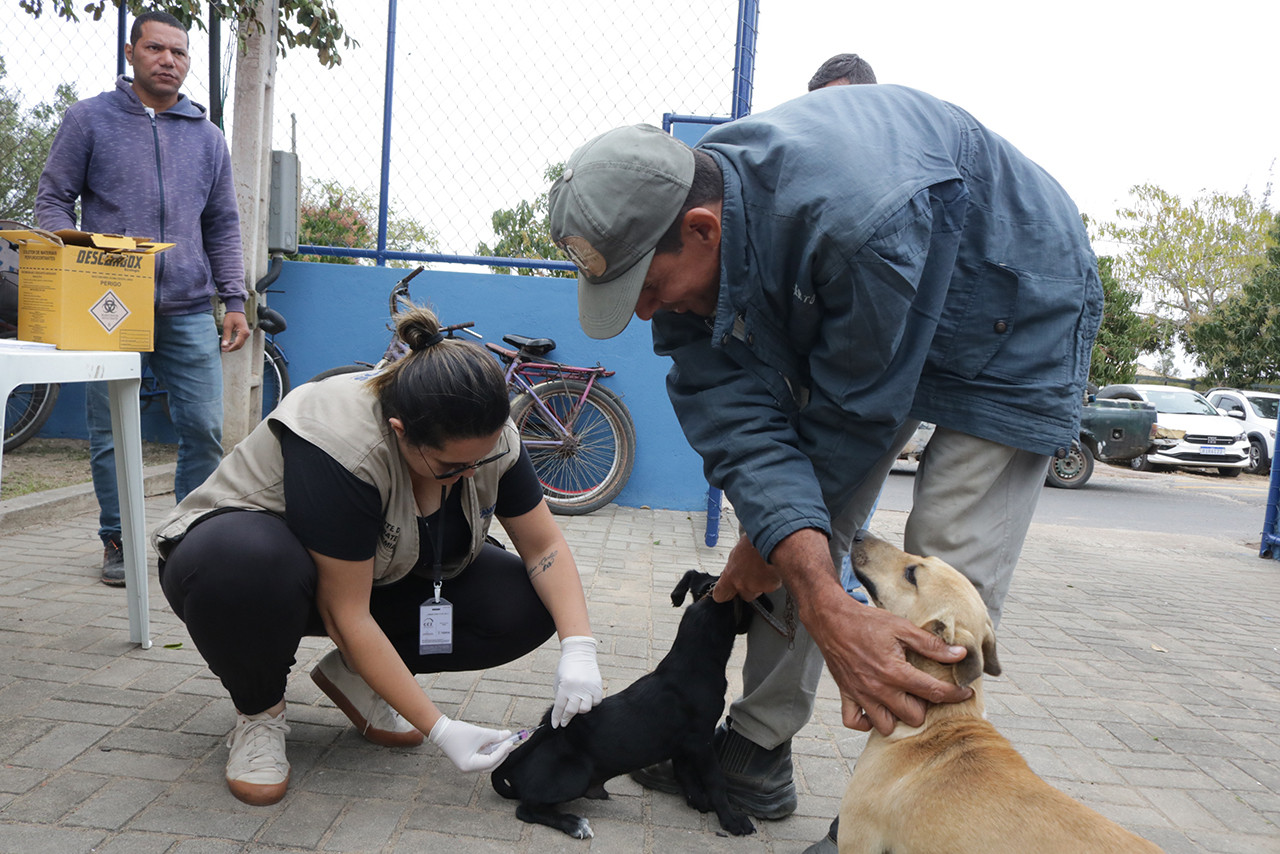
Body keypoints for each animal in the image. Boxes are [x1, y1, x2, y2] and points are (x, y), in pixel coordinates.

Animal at [486, 571, 747, 839]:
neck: (692, 662)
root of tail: (515, 771)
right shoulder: (702, 741)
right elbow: (716, 781)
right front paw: (731, 820)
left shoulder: (684, 745)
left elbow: (686, 773)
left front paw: (698, 801)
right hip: (576, 774)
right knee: (526, 809)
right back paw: (573, 824)